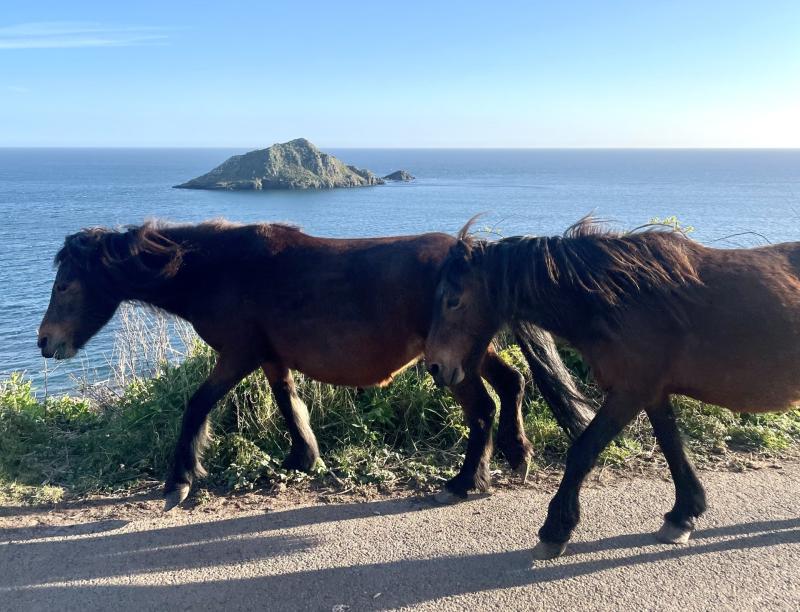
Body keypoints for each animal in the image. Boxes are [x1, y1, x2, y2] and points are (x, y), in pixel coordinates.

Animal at [38, 220, 593, 510]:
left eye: (63, 286)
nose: (45, 342)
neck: (218, 269)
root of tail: (477, 255)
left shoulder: (237, 354)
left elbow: (197, 405)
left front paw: (179, 479)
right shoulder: (270, 357)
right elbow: (289, 404)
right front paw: (304, 456)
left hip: (452, 362)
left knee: (481, 408)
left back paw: (465, 481)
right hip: (467, 354)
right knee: (512, 384)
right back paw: (516, 455)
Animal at [425, 217, 800, 560]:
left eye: (453, 300)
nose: (436, 366)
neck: (624, 297)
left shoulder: (629, 392)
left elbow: (582, 451)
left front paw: (556, 529)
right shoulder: (652, 392)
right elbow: (673, 449)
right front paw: (683, 515)